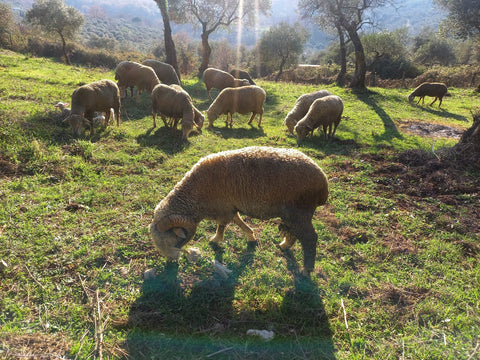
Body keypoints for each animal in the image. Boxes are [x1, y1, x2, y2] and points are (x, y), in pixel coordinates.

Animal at [150, 146, 330, 276]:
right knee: (294, 232)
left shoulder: (223, 209)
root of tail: (323, 181)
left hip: (300, 212)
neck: (195, 195)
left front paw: (215, 240)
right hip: (292, 214)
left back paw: (307, 270)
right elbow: (238, 222)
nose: (171, 262)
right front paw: (251, 236)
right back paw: (285, 245)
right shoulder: (231, 207)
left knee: (310, 238)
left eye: (170, 239)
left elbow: (221, 226)